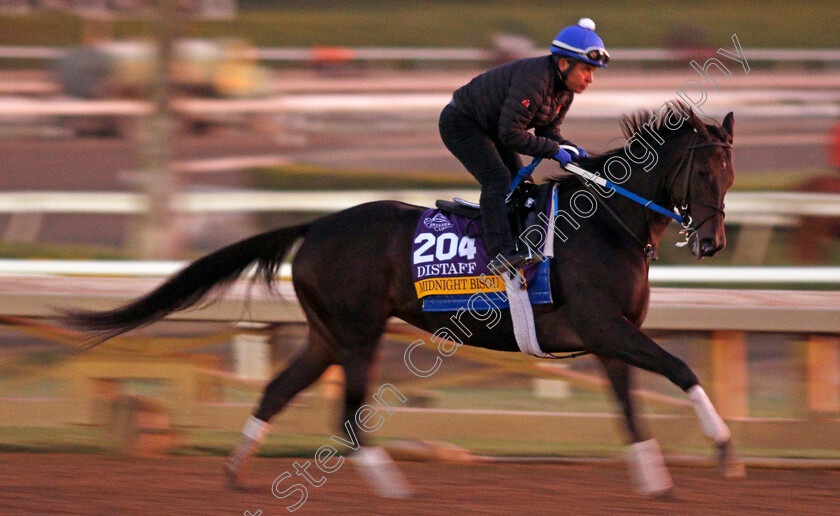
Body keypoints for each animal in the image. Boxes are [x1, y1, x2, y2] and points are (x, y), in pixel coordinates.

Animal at [64, 103, 740, 498]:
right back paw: (391, 487)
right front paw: (726, 452)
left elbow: (632, 409)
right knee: (348, 412)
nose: (711, 242)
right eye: (705, 173)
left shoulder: (609, 336)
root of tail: (317, 224)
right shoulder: (604, 327)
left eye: (731, 175)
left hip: (328, 334)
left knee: (278, 391)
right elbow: (680, 368)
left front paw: (657, 482)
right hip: (359, 332)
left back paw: (236, 470)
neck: (604, 222)